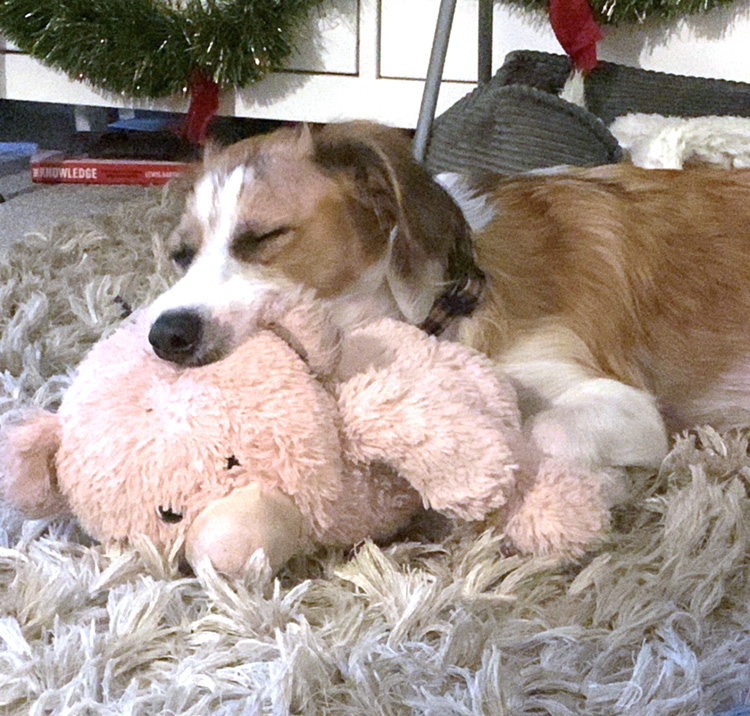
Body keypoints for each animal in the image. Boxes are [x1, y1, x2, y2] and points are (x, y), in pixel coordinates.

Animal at [147, 120, 750, 506]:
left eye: (264, 238)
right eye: (180, 254)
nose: (164, 335)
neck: (443, 301)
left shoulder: (628, 405)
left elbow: (544, 431)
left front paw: (596, 486)